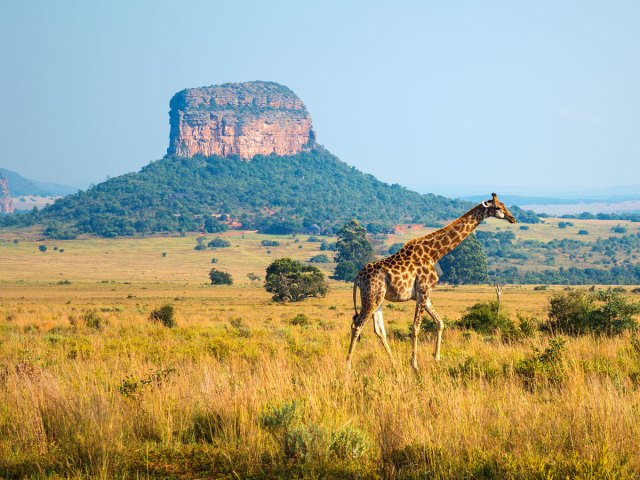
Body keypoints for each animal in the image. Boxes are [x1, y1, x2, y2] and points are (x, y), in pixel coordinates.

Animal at [344, 192, 516, 372]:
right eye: (497, 207)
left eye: (503, 205)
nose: (512, 218)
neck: (434, 253)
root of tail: (358, 277)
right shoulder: (423, 291)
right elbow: (416, 327)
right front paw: (414, 365)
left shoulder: (425, 295)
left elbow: (439, 322)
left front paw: (436, 358)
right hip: (371, 297)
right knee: (357, 325)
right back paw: (348, 365)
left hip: (379, 299)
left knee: (379, 329)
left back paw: (394, 363)